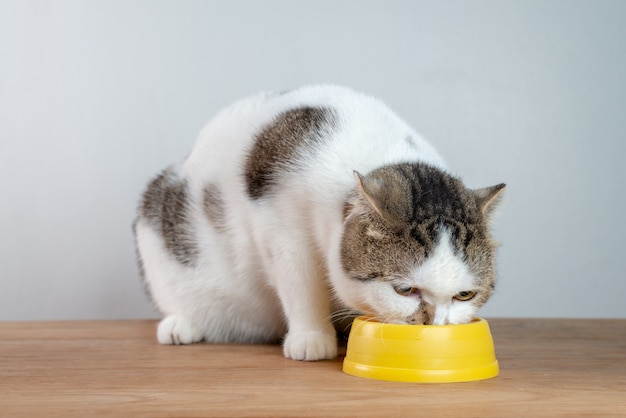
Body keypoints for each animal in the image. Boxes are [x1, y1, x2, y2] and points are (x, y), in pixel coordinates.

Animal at [134, 84, 504, 360]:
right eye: (404, 290)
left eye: (465, 295)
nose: (434, 325)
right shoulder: (282, 230)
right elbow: (300, 284)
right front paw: (311, 337)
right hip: (157, 223)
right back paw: (181, 325)